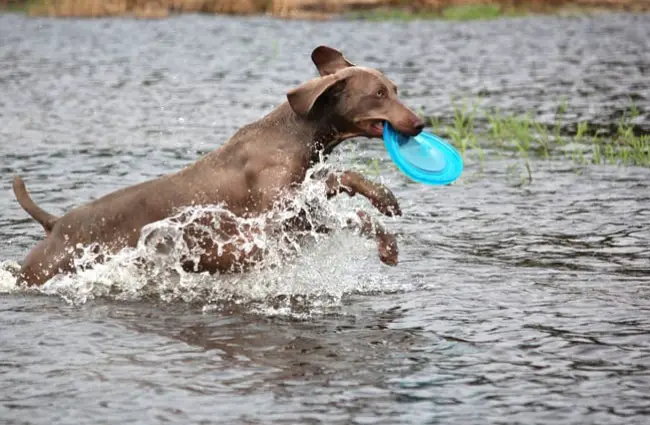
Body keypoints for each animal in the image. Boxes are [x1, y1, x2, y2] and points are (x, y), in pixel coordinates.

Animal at [13, 45, 426, 284]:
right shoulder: (271, 227)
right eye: (378, 93)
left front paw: (385, 203)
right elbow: (348, 210)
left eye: (395, 90)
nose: (421, 123)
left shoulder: (299, 201)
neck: (295, 134)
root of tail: (55, 223)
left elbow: (343, 182)